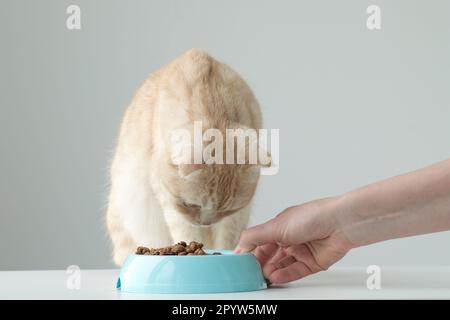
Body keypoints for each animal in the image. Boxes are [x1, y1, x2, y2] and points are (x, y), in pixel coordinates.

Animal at [107, 48, 266, 264]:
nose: (205, 223)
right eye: (191, 205)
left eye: (225, 210)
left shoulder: (236, 215)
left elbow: (228, 238)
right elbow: (186, 232)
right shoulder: (171, 205)